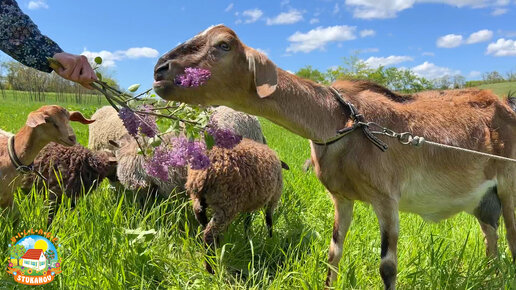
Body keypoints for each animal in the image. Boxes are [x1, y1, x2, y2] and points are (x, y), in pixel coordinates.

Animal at [186, 137, 288, 274]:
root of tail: (205, 171)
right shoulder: (273, 198)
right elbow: (269, 220)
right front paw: (271, 238)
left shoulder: (248, 202)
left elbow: (247, 220)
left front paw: (247, 236)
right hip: (227, 205)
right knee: (208, 234)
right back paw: (210, 268)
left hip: (198, 198)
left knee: (201, 218)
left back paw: (216, 245)